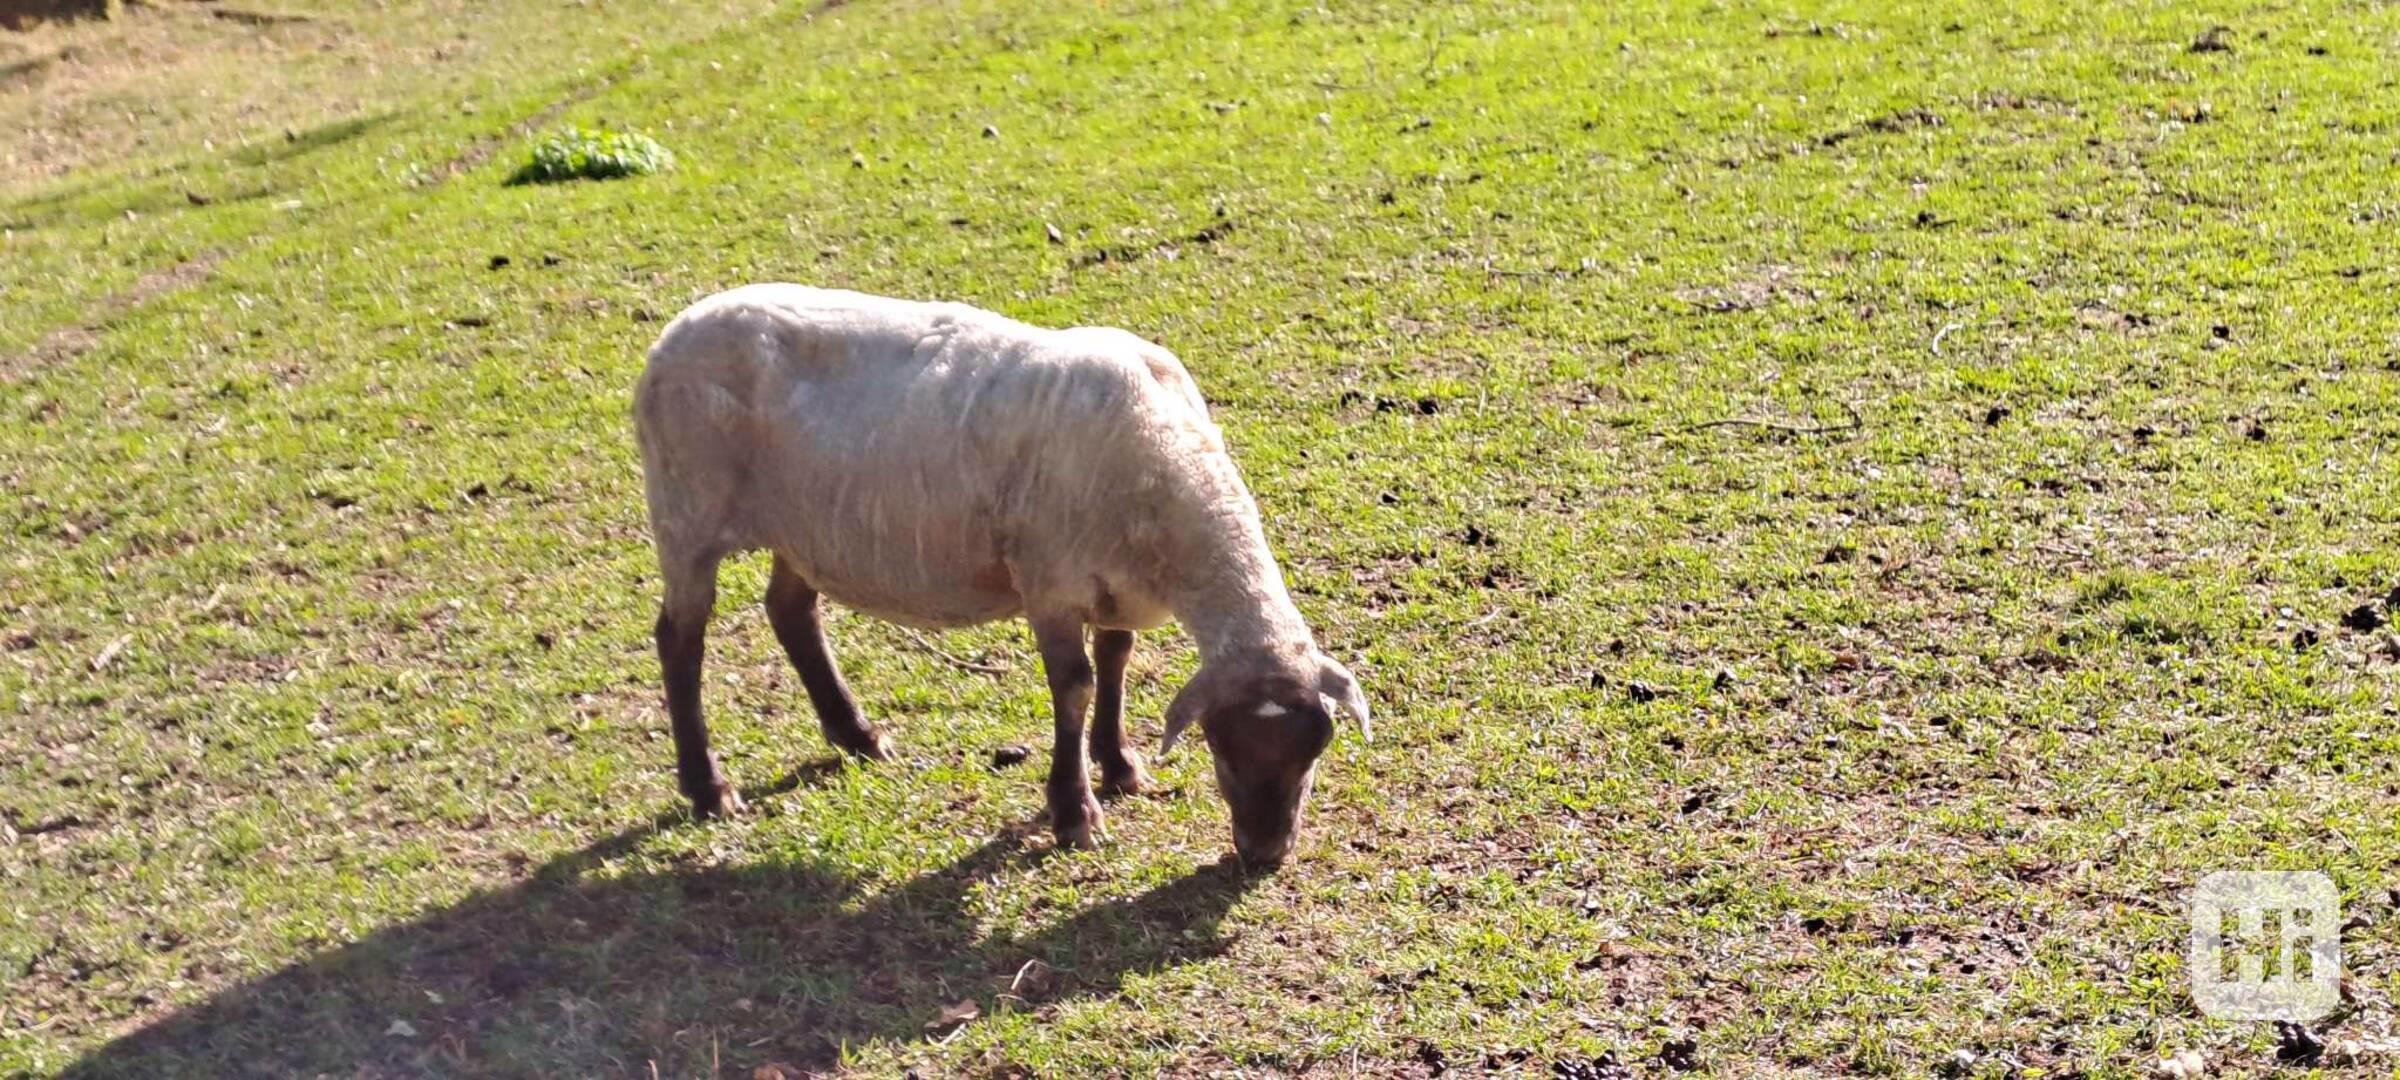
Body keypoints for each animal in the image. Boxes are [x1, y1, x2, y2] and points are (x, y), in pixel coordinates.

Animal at [628, 283, 1372, 864]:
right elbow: (1074, 685)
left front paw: (1119, 766)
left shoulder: (1114, 589)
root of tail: (679, 327)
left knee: (790, 611)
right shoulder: (1048, 581)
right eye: (1222, 747)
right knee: (680, 638)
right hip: (687, 510)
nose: (1264, 853)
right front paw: (1075, 813)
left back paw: (858, 736)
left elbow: (1117, 661)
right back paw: (709, 788)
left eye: (1316, 749)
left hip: (805, 526)